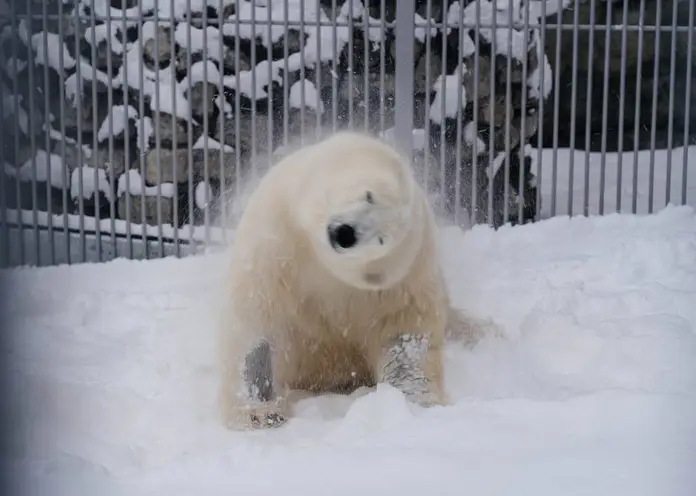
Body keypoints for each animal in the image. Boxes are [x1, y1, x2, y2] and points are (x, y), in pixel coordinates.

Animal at [216, 131, 468, 430]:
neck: (319, 261)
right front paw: (259, 412)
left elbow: (405, 337)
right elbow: (256, 322)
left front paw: (414, 403)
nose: (345, 233)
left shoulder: (404, 281)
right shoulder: (277, 236)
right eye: (369, 196)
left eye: (382, 239)